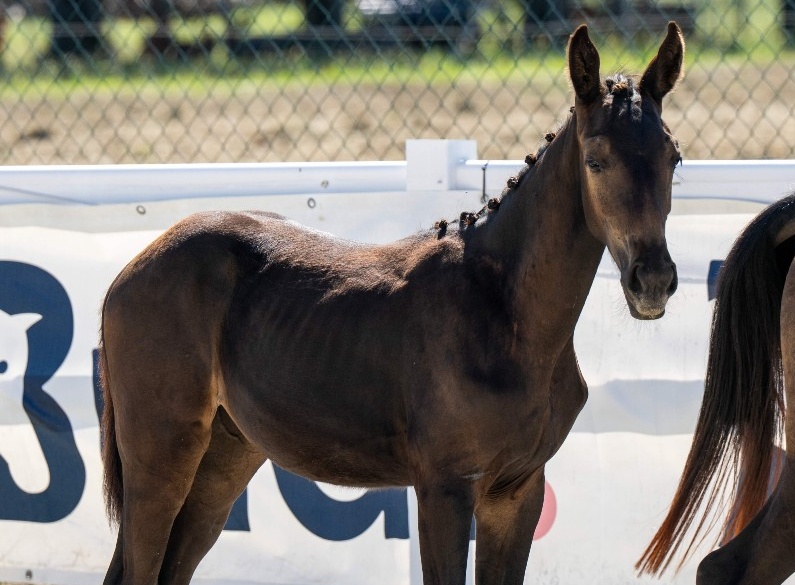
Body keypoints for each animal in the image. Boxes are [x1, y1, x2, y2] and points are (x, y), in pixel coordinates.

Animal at [99, 22, 685, 585]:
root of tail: (129, 272)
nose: (653, 281)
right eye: (596, 160)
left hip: (225, 457)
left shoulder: (517, 494)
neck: (502, 315)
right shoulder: (445, 491)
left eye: (674, 158)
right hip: (160, 458)